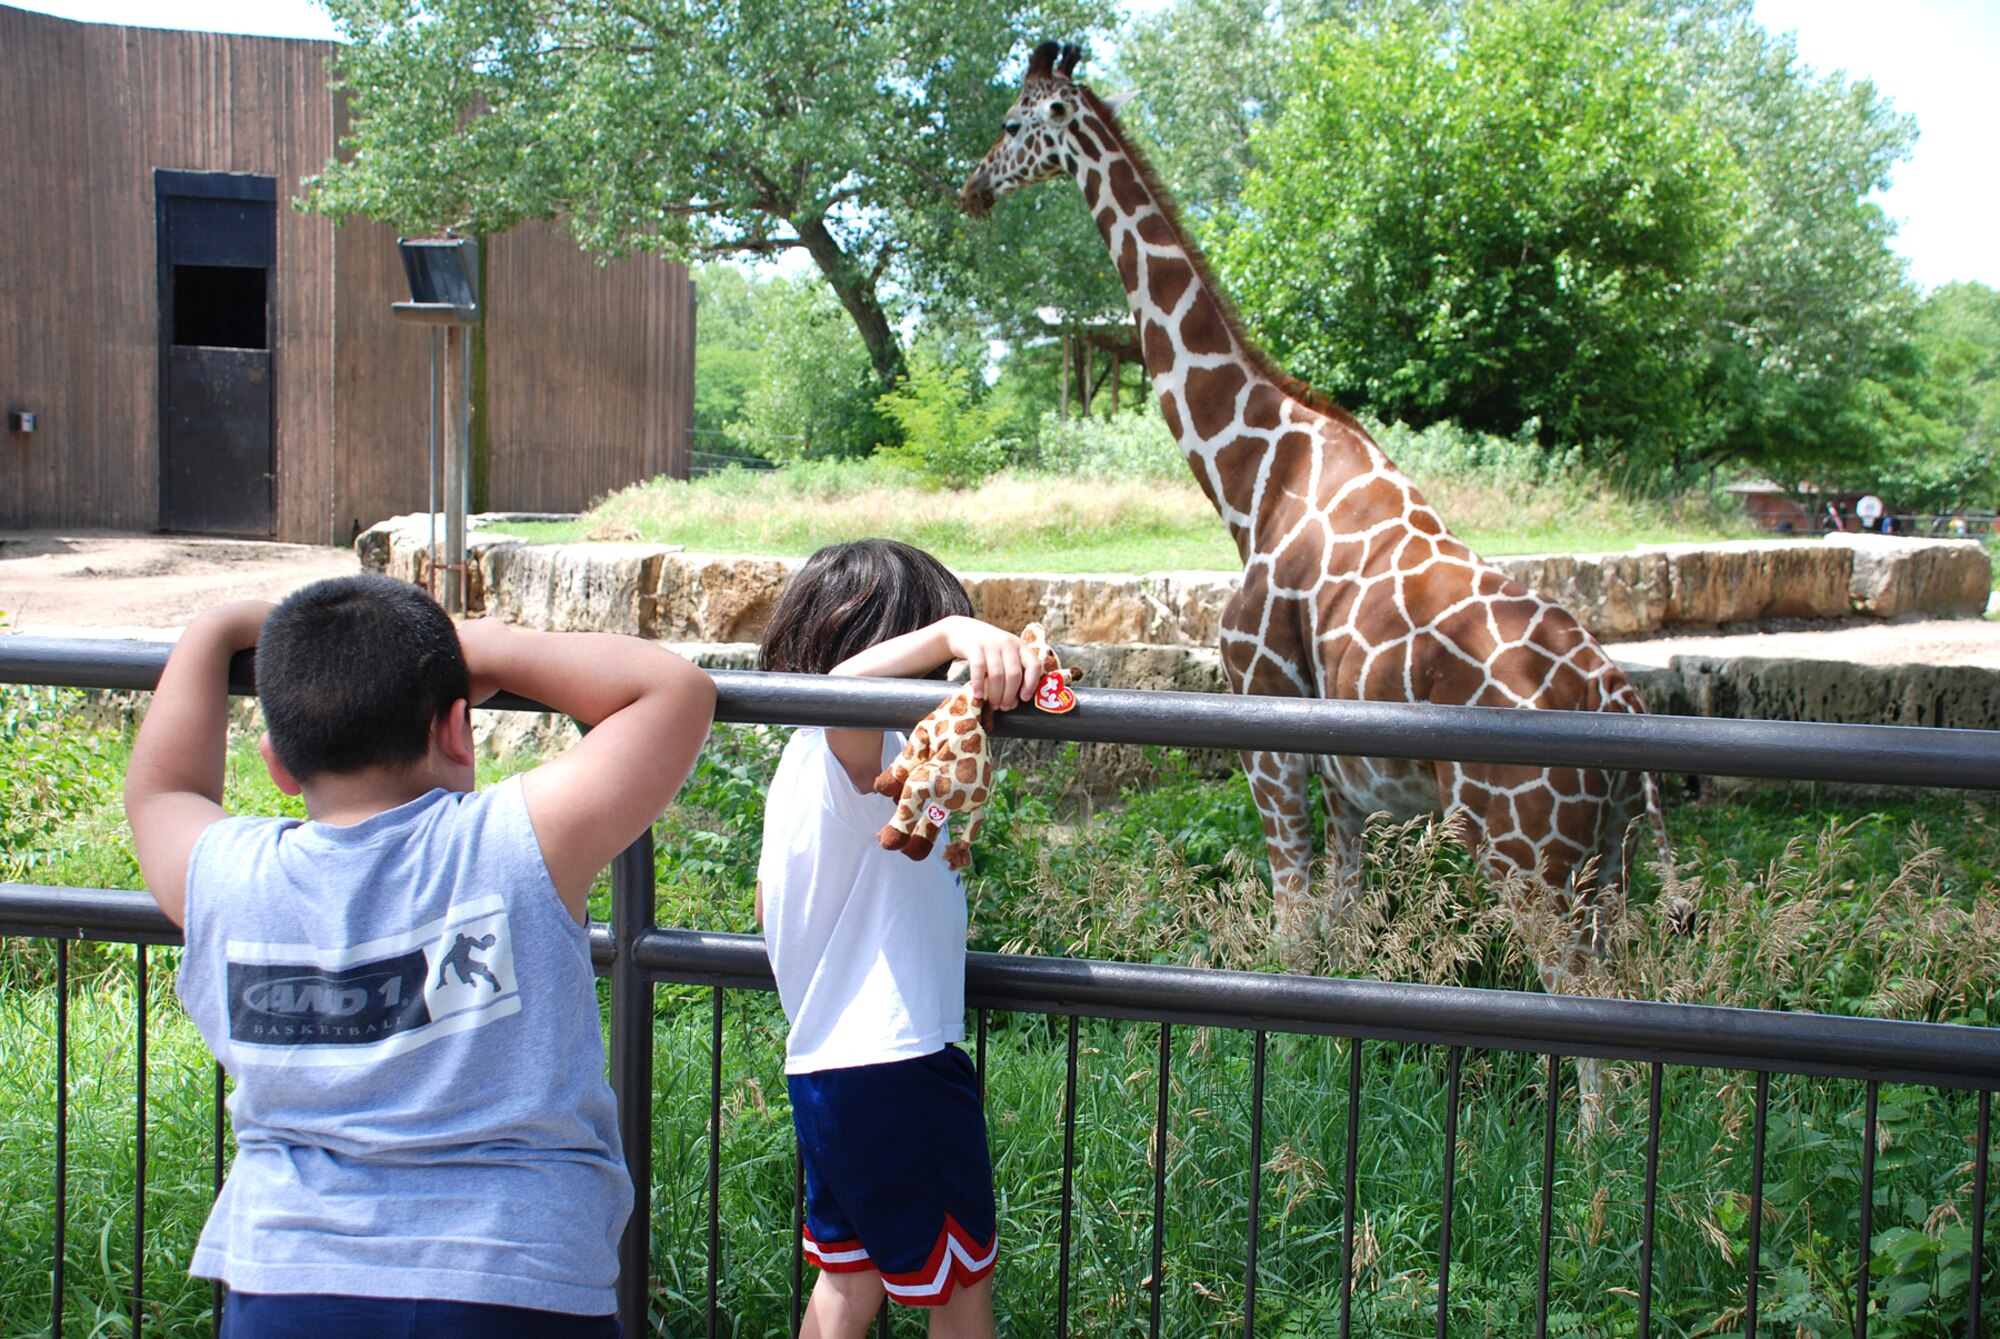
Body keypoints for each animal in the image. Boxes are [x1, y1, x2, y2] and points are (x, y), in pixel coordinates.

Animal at [960, 39, 1680, 987]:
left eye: (1012, 122)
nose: (970, 188)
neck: (1255, 476)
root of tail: (1620, 698)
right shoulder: (1349, 781)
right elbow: (1340, 939)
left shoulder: (1267, 727)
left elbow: (1292, 932)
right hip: (1607, 860)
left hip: (1528, 856)